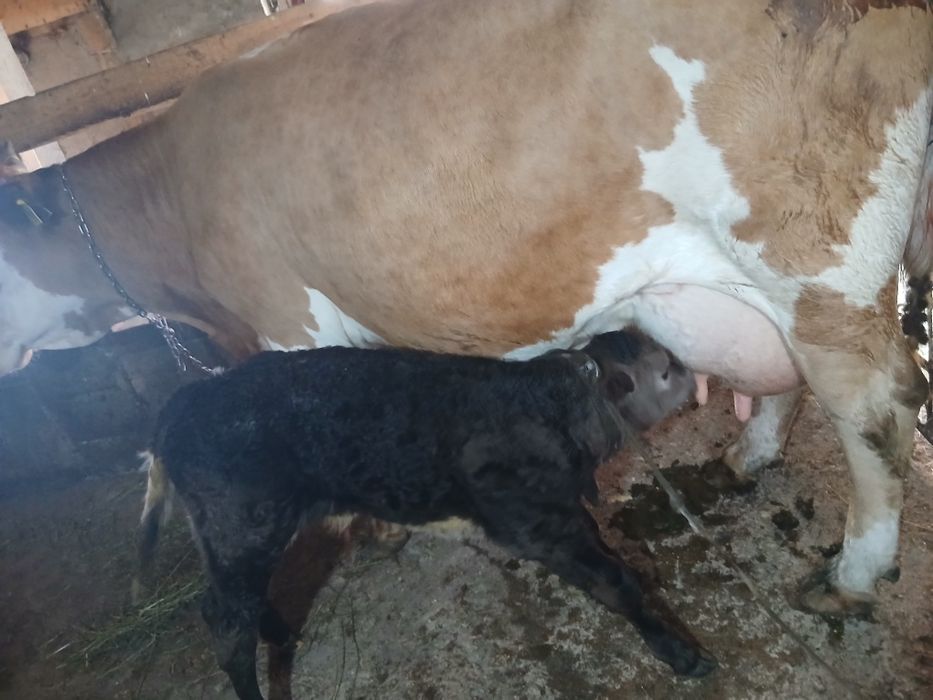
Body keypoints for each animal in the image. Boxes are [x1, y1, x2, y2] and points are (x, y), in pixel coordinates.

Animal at [0, 0, 931, 618]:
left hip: (814, 255)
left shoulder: (285, 315)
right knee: (792, 375)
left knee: (878, 408)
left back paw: (852, 575)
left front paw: (367, 529)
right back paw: (751, 454)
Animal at [135, 330, 706, 700]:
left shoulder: (563, 509)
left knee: (239, 604)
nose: (695, 372)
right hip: (242, 525)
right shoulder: (535, 523)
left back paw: (278, 632)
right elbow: (615, 583)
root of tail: (186, 400)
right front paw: (681, 653)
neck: (547, 404)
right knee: (225, 620)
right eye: (665, 368)